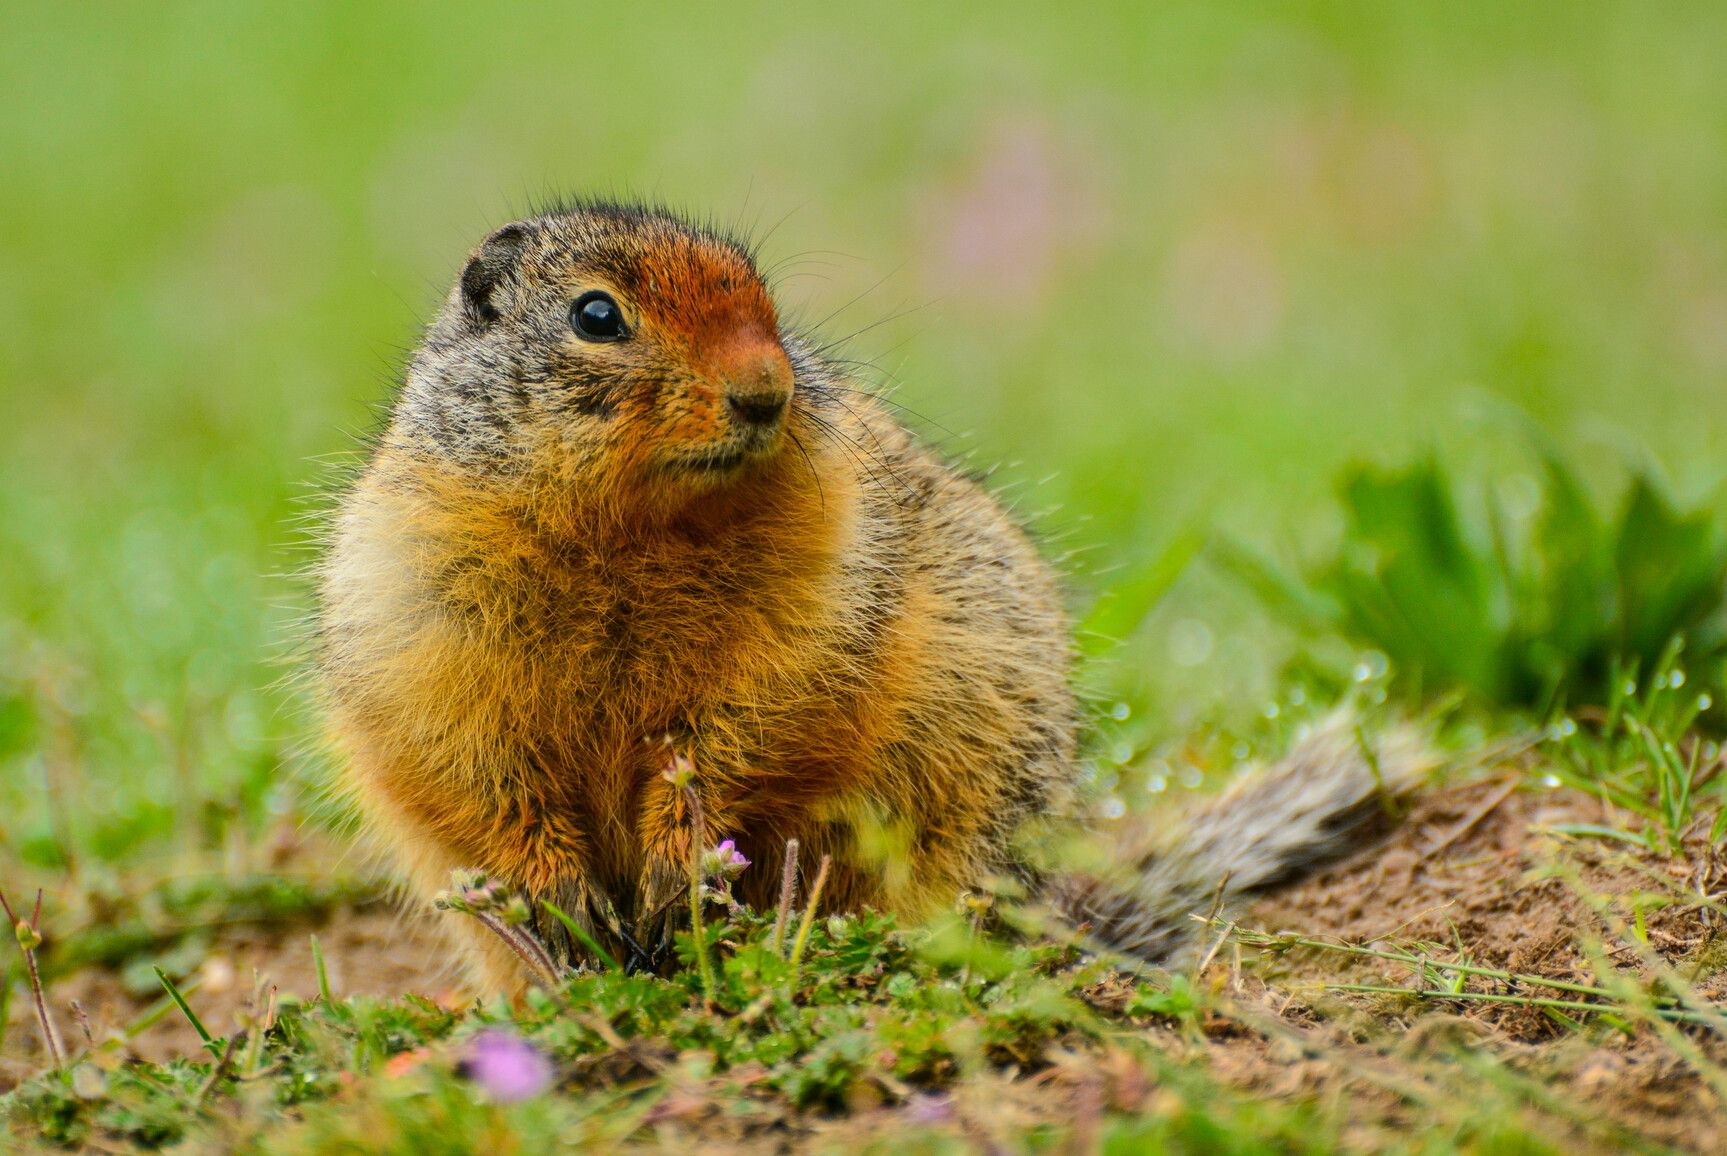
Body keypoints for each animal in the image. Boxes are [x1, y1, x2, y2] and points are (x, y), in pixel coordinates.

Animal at [315, 200, 1424, 994]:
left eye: (764, 302)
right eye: (596, 315)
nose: (766, 391)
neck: (625, 532)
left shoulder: (813, 606)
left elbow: (743, 732)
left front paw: (683, 875)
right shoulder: (416, 620)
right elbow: (475, 773)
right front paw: (567, 900)